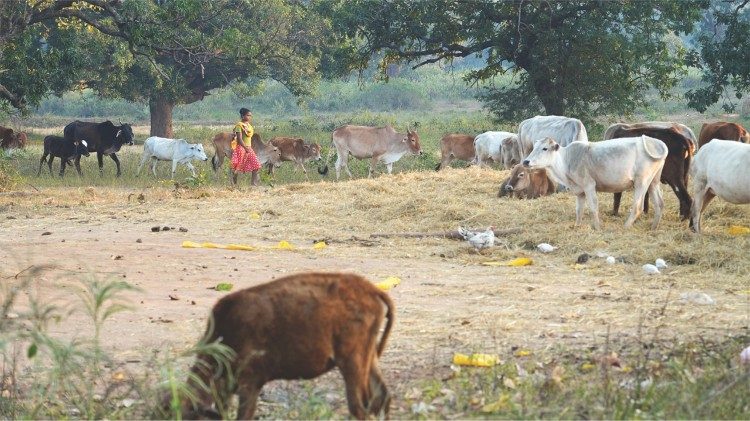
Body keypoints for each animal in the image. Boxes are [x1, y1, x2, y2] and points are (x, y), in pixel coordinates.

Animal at [174, 272, 394, 420]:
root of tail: (370, 290)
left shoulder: (250, 384)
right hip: (368, 357)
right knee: (380, 398)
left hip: (352, 361)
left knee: (359, 407)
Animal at [523, 136, 668, 230]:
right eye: (534, 147)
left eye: (545, 148)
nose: (526, 161)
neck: (566, 160)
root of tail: (654, 141)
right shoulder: (580, 191)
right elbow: (579, 210)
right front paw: (577, 226)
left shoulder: (589, 185)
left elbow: (593, 207)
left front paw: (597, 228)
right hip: (653, 182)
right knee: (659, 204)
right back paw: (653, 228)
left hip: (641, 182)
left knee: (637, 207)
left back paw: (625, 227)